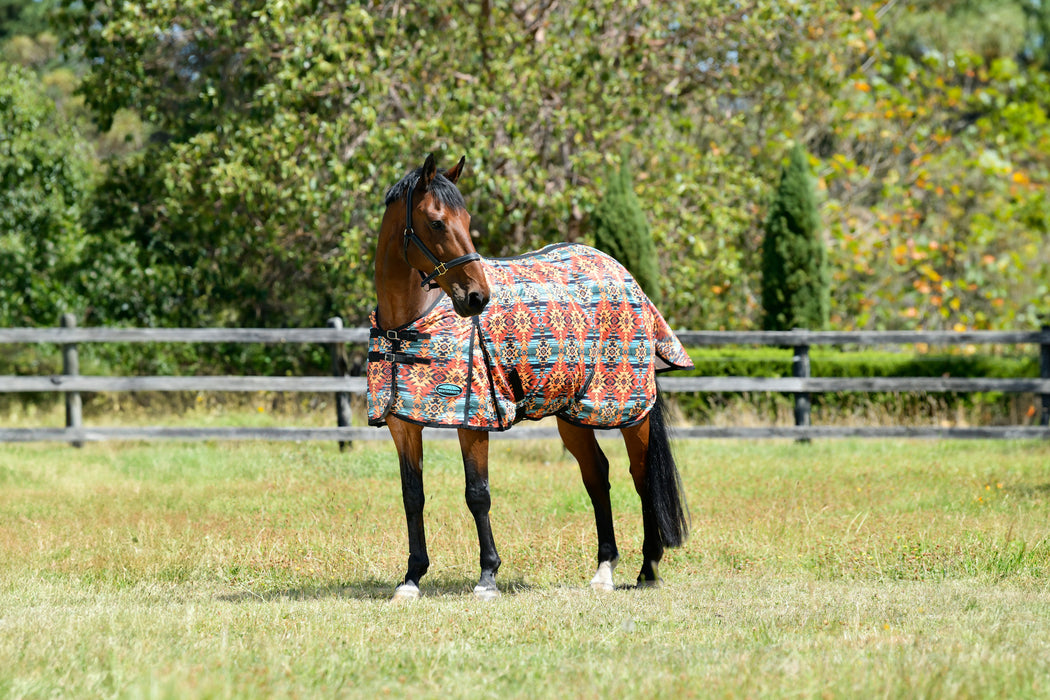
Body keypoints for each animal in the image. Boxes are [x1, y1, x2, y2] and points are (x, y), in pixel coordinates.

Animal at [365, 154, 692, 604]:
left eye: (467, 219)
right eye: (436, 222)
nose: (477, 297)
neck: (409, 326)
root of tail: (620, 271)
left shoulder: (474, 421)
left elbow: (477, 494)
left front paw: (487, 577)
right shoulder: (403, 425)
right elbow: (413, 496)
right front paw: (411, 579)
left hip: (629, 410)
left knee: (642, 478)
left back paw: (648, 569)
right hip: (573, 414)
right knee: (598, 476)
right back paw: (604, 570)